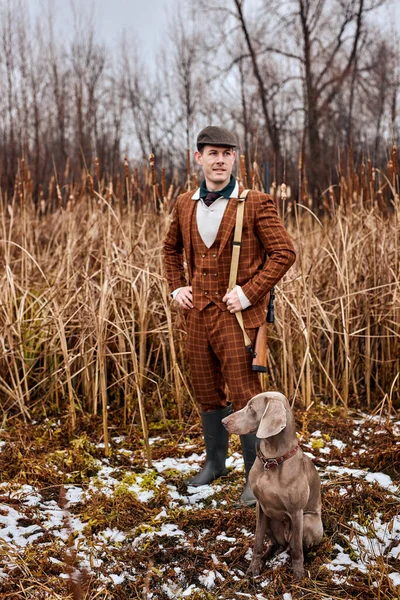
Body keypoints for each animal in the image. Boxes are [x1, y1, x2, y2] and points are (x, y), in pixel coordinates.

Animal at [220, 392, 324, 580]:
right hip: (269, 519)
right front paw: (254, 568)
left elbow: (297, 550)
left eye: (251, 407)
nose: (223, 421)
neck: (272, 460)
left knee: (296, 546)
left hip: (308, 521)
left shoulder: (296, 512)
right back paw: (267, 555)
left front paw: (298, 575)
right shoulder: (260, 507)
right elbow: (257, 541)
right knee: (276, 544)